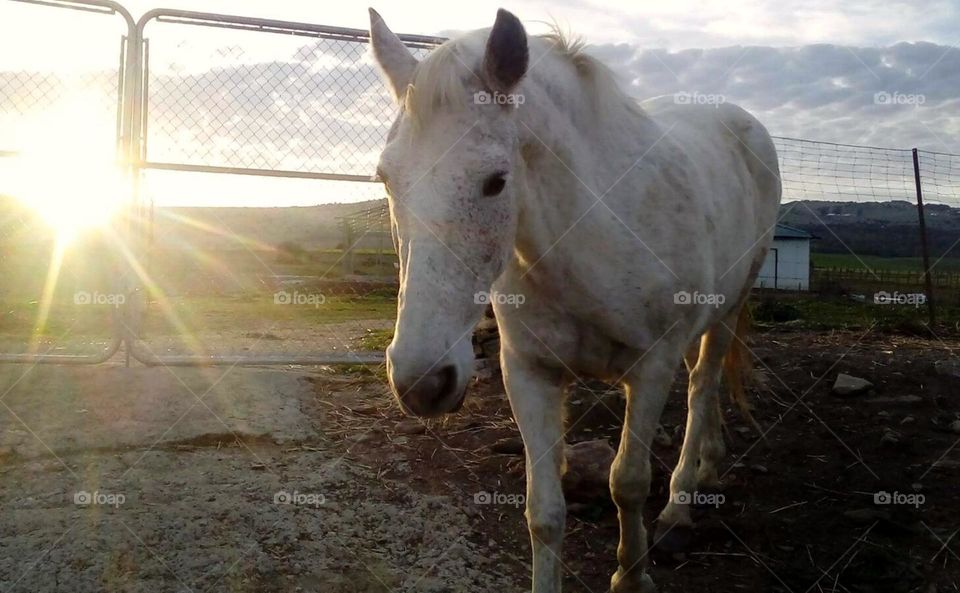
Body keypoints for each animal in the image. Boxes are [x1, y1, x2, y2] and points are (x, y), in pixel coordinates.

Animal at [368, 8, 781, 592]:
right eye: (386, 178)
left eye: (496, 181)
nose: (423, 383)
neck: (586, 238)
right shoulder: (529, 372)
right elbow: (544, 513)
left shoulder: (651, 367)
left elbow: (627, 481)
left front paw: (631, 577)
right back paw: (709, 462)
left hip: (730, 305)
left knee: (704, 384)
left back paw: (681, 503)